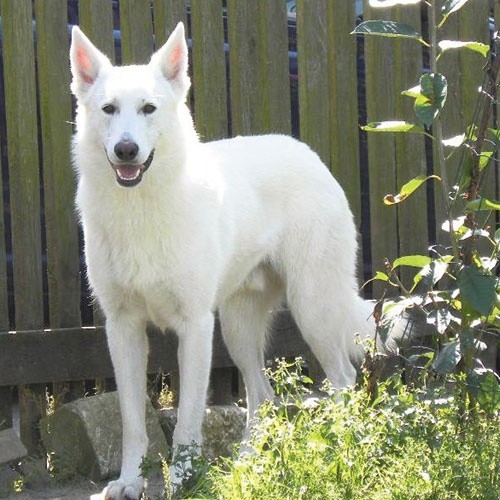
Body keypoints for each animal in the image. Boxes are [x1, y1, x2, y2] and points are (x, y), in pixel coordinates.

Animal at [69, 22, 376, 496]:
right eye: (108, 109)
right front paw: (128, 482)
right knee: (263, 397)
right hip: (238, 327)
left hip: (313, 311)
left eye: (148, 109)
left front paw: (182, 481)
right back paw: (247, 466)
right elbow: (132, 423)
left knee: (343, 380)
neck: (140, 209)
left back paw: (343, 450)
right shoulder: (122, 329)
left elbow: (187, 422)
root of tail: (307, 153)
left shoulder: (195, 327)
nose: (126, 150)